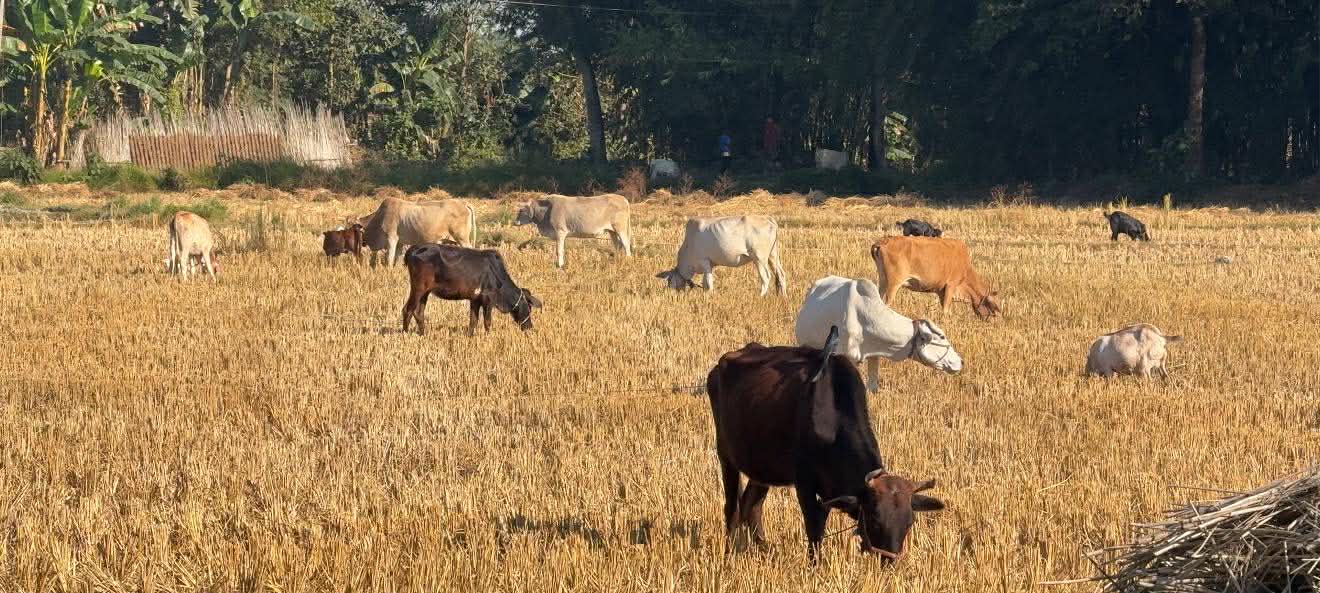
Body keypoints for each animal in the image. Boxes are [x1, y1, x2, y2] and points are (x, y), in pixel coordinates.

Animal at [401, 243, 542, 336]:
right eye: (529, 308)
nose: (530, 327)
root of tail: (415, 248)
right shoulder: (488, 299)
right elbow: (487, 321)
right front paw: (488, 337)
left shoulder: (475, 299)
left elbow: (473, 321)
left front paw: (470, 336)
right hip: (418, 288)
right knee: (407, 310)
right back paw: (405, 335)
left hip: (425, 292)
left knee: (419, 313)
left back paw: (423, 334)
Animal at [655, 216, 787, 296]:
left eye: (670, 280)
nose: (671, 294)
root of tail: (768, 219)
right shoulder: (710, 265)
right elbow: (706, 283)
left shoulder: (705, 262)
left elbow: (708, 282)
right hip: (773, 256)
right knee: (780, 274)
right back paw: (783, 297)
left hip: (759, 258)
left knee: (766, 277)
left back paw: (760, 296)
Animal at [707, 326, 945, 562]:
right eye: (875, 518)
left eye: (909, 522)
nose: (890, 560)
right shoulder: (805, 485)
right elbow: (815, 530)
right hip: (726, 456)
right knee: (732, 508)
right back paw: (729, 552)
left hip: (763, 466)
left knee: (751, 504)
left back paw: (761, 548)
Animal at [871, 236, 1000, 320]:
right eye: (993, 311)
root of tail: (883, 241)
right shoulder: (951, 285)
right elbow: (946, 311)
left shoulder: (941, 291)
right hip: (893, 285)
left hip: (883, 282)